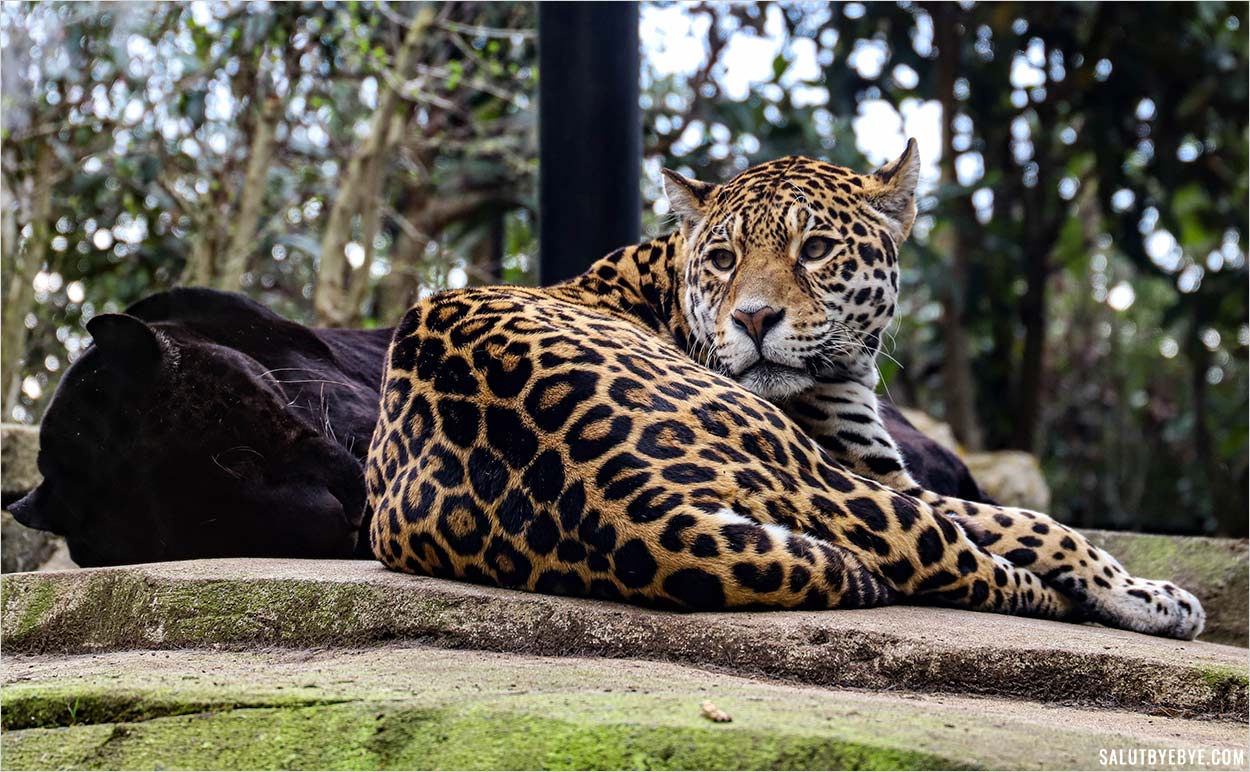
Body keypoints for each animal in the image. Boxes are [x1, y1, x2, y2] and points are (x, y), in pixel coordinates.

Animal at [366, 142, 1205, 639]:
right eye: (725, 257)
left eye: (817, 248)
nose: (754, 318)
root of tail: (631, 509)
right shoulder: (882, 475)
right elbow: (1041, 525)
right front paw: (1152, 594)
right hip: (834, 483)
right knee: (985, 545)